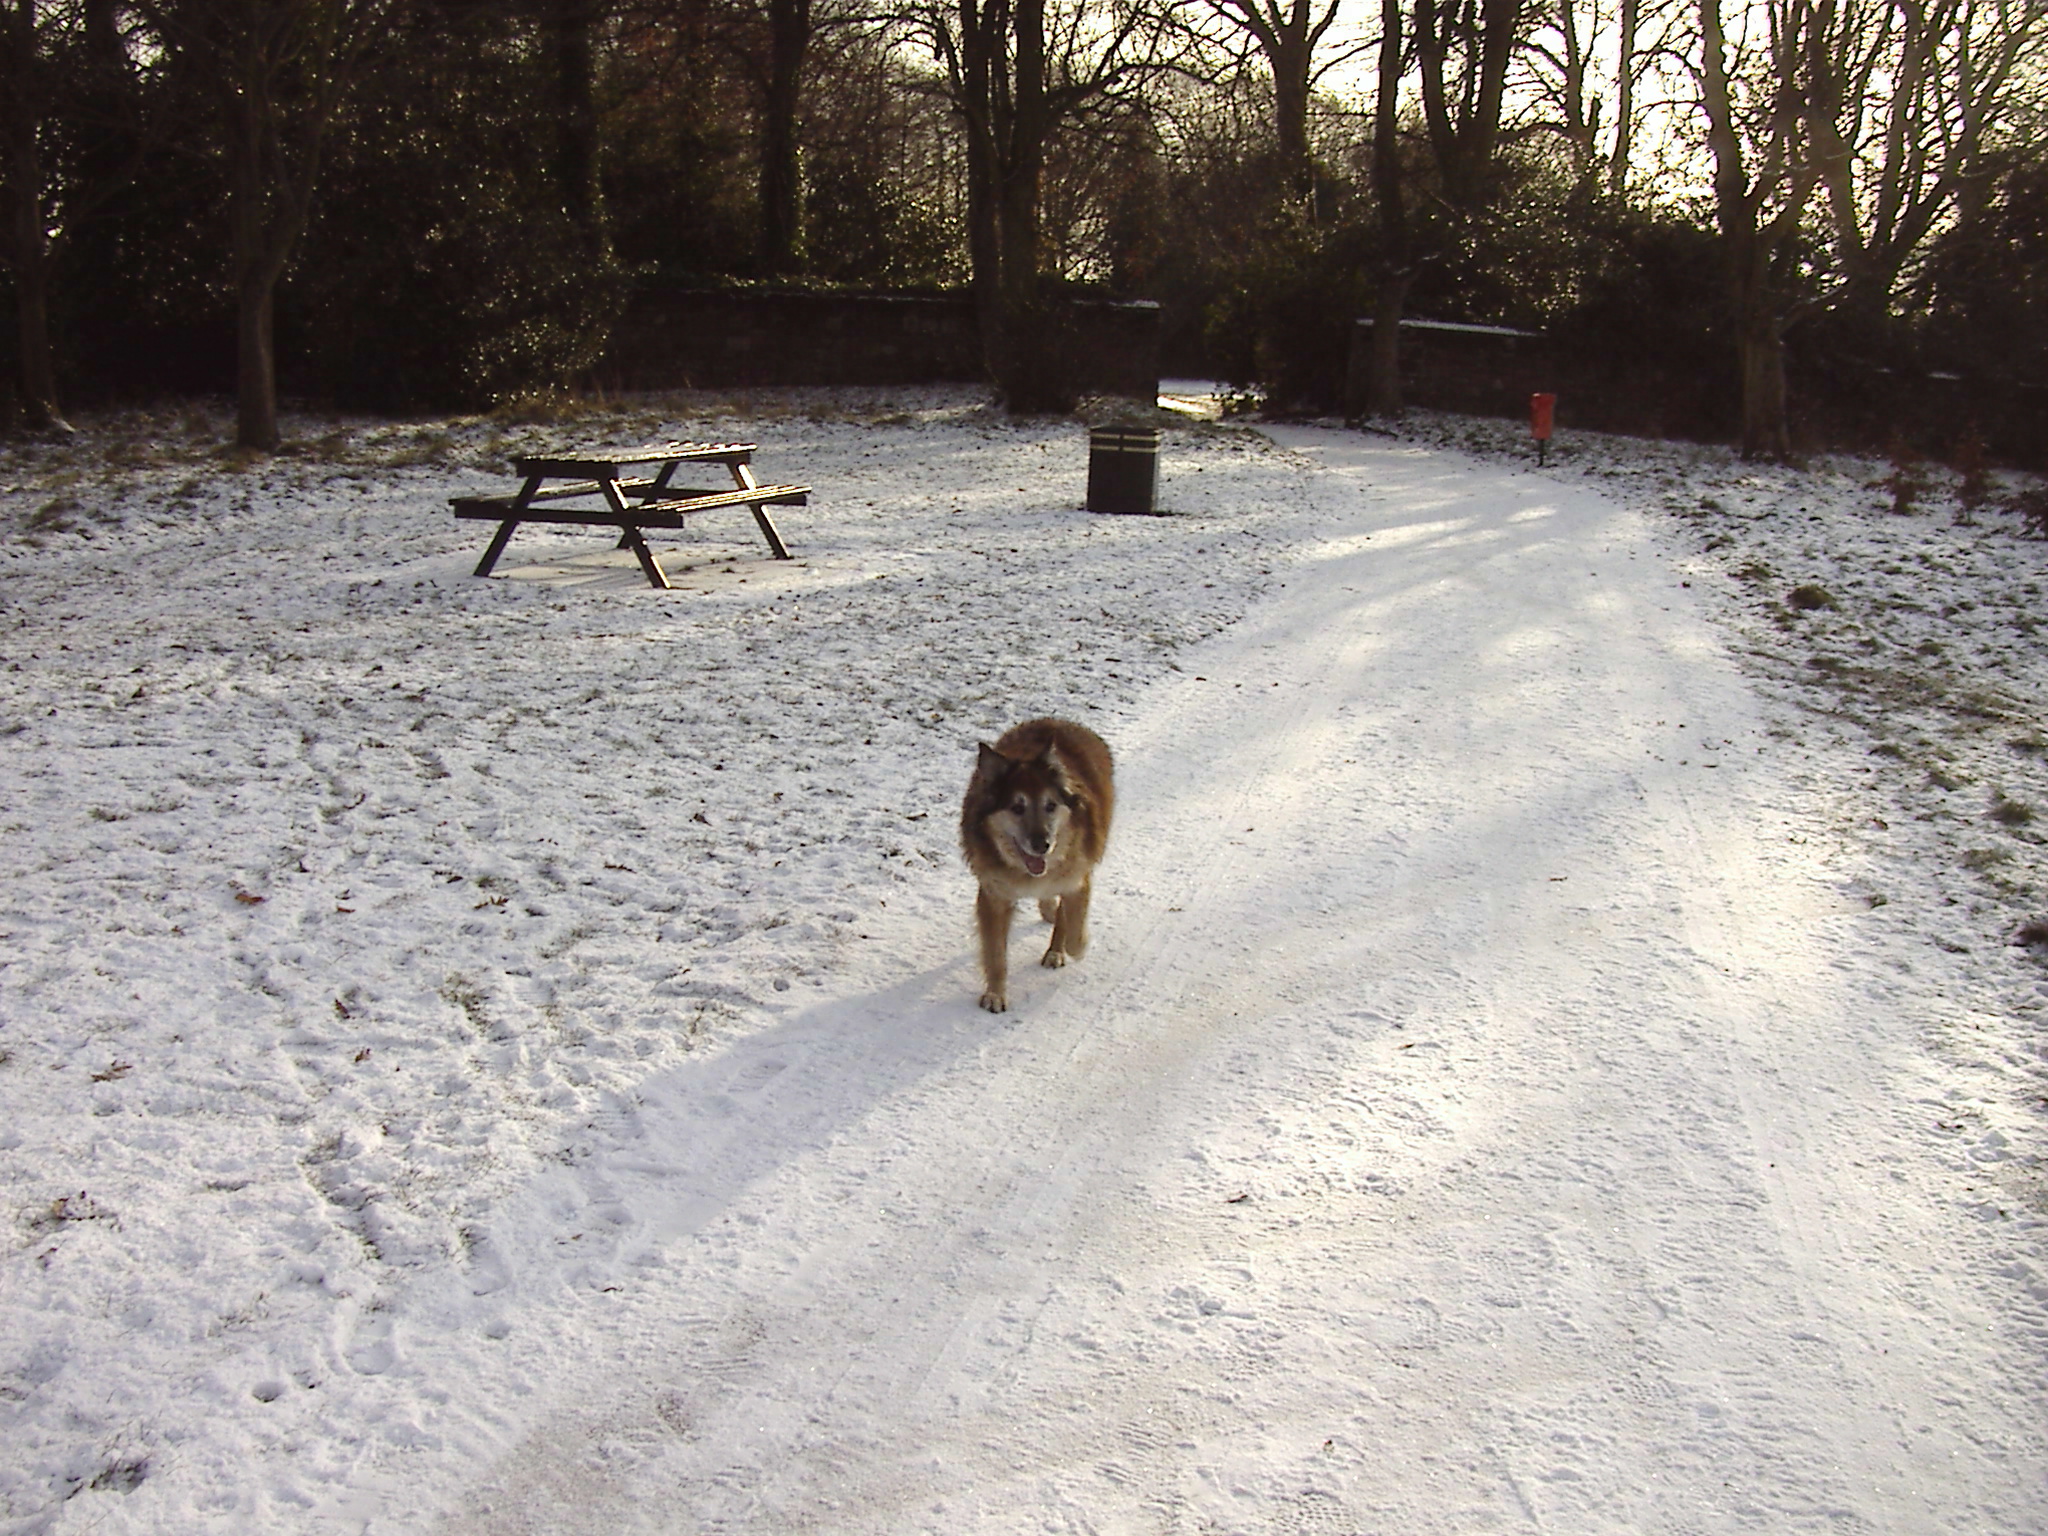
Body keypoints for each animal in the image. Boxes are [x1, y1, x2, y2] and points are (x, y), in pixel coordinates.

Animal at [962, 720, 1122, 1015]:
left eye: (1050, 805)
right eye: (1017, 807)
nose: (1042, 845)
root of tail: (1060, 721)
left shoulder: (1077, 880)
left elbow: (1073, 932)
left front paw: (1076, 946)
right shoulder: (993, 895)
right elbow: (995, 953)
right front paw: (995, 994)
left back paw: (1055, 950)